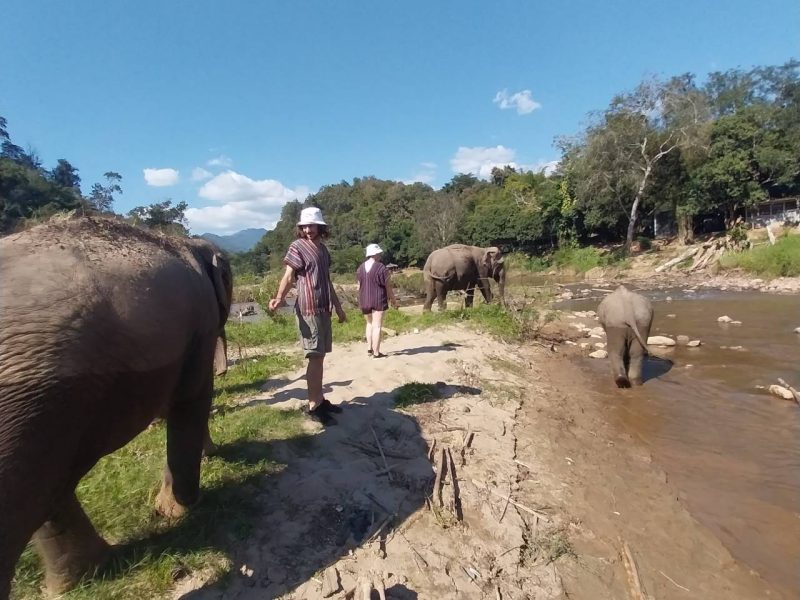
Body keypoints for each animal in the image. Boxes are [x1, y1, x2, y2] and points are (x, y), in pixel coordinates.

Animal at [0, 214, 231, 596]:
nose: (216, 452)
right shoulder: (201, 322)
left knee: (41, 487)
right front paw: (181, 511)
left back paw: (85, 574)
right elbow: (191, 398)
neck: (186, 242)